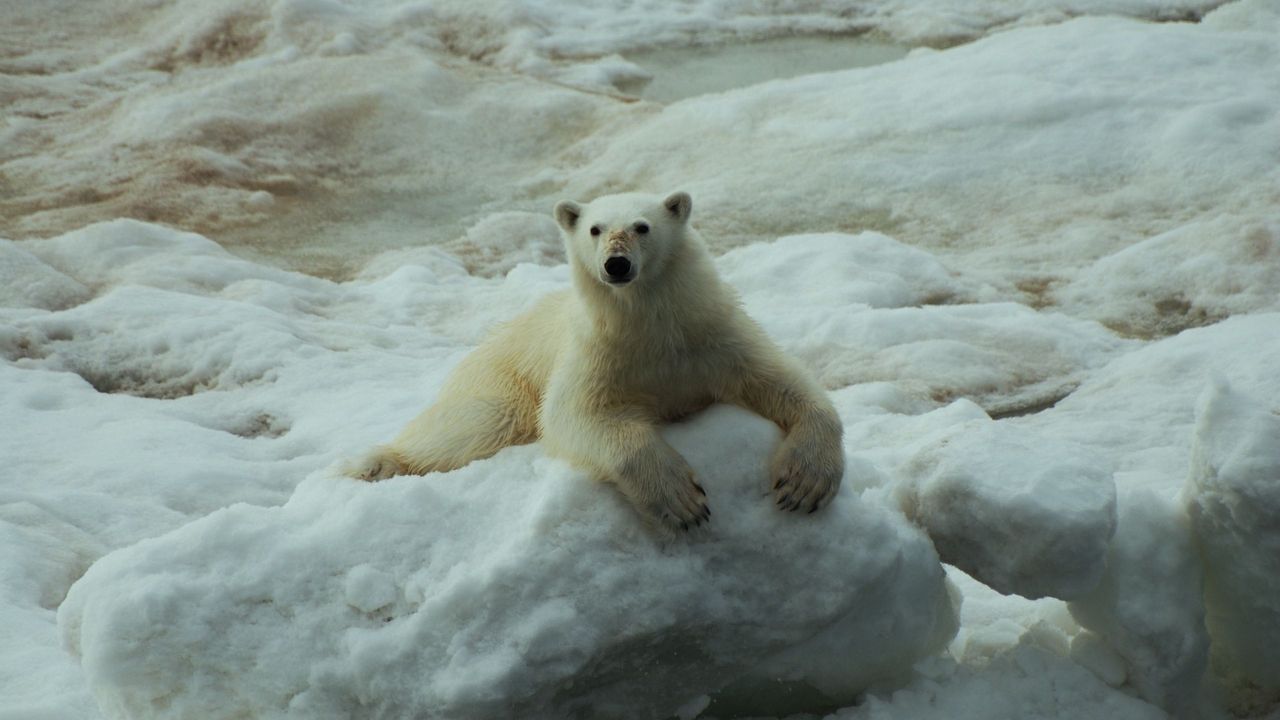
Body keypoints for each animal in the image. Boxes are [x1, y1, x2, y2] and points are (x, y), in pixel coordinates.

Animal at [350, 193, 844, 530]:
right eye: (594, 228)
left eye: (642, 226)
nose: (617, 264)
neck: (652, 328)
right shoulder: (598, 355)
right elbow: (576, 416)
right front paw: (682, 502)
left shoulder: (713, 337)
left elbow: (781, 381)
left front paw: (804, 484)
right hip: (500, 378)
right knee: (477, 424)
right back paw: (377, 464)